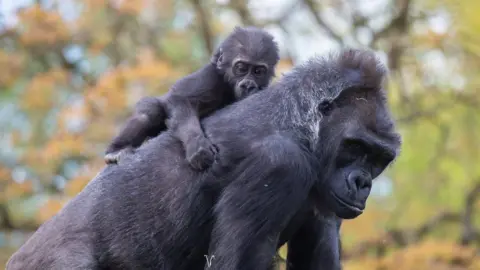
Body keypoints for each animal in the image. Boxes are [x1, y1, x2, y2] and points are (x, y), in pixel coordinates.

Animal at [103, 25, 280, 169]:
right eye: (241, 68)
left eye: (258, 71)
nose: (248, 84)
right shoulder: (209, 78)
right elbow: (181, 100)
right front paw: (197, 146)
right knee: (150, 113)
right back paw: (116, 150)